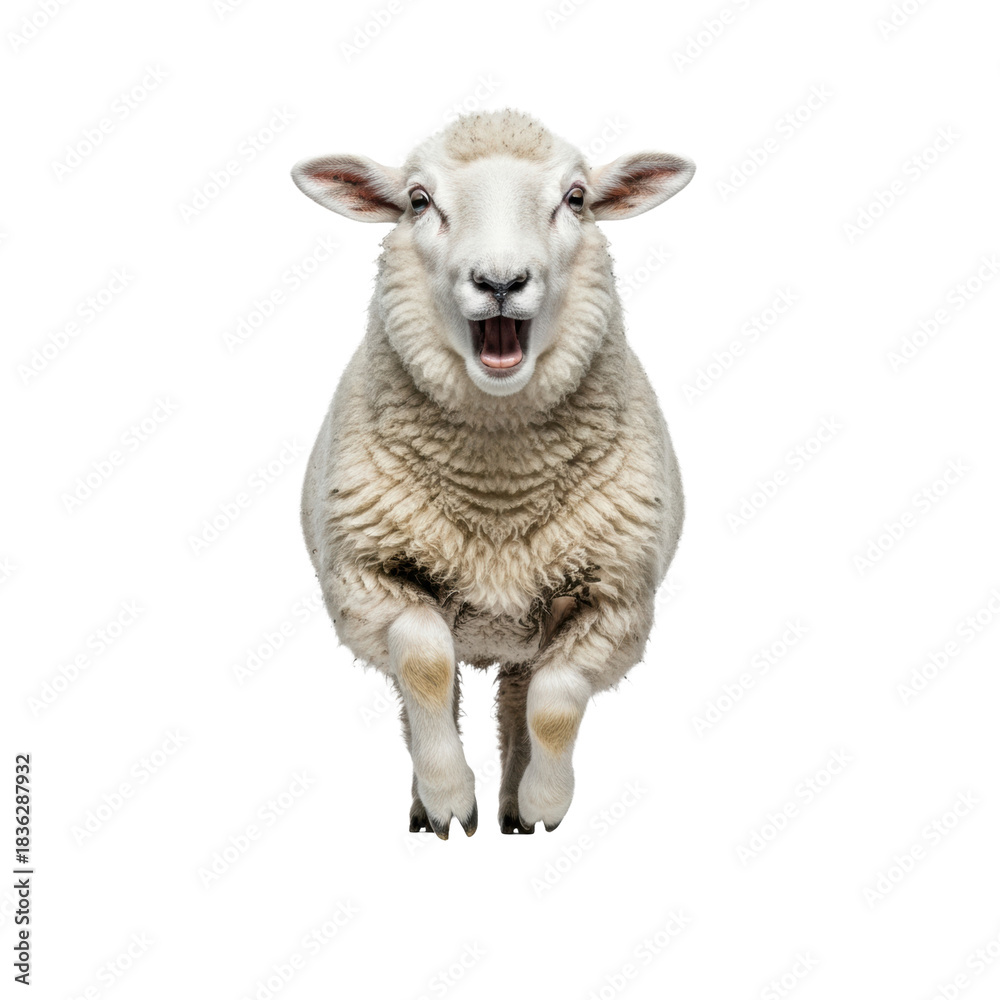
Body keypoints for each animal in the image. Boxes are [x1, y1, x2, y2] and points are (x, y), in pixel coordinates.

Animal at [291, 110, 694, 838]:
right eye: (419, 200)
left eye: (576, 198)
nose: (500, 281)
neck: (499, 490)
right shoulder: (364, 579)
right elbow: (424, 663)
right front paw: (451, 796)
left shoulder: (617, 602)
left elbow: (555, 703)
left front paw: (543, 804)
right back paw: (431, 805)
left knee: (520, 697)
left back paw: (514, 806)